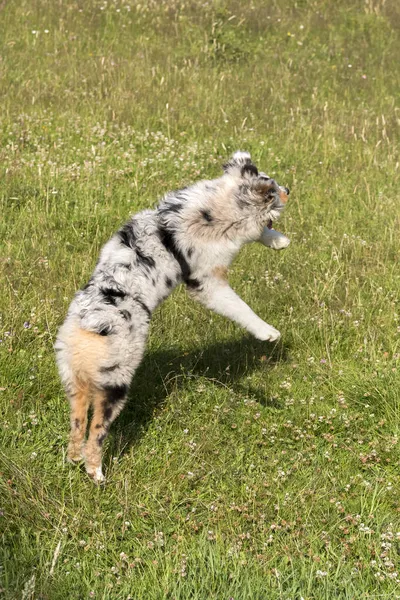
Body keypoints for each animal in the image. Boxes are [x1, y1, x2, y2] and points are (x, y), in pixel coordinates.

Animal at [54, 151, 290, 482]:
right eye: (274, 189)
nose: (289, 189)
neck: (215, 207)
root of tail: (88, 321)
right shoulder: (207, 280)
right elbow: (239, 306)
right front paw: (268, 332)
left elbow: (260, 232)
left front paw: (279, 240)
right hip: (115, 381)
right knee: (96, 431)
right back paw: (97, 473)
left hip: (74, 382)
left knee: (77, 426)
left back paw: (74, 460)